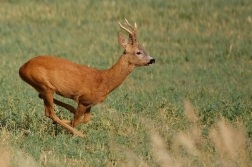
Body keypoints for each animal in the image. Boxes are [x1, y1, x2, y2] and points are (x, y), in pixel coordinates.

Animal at [18, 18, 155, 138]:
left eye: (144, 49)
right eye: (138, 52)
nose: (152, 60)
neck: (105, 80)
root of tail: (21, 69)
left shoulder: (90, 103)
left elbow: (86, 119)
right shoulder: (84, 100)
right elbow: (77, 121)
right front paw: (72, 131)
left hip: (44, 87)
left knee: (42, 99)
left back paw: (68, 114)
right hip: (45, 85)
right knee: (50, 113)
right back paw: (79, 134)